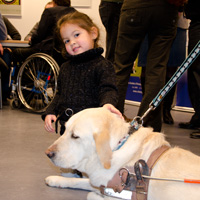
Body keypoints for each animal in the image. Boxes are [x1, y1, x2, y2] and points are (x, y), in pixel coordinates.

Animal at [45, 108, 200, 200]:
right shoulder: (103, 183)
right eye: (65, 129)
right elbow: (81, 182)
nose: (48, 153)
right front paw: (57, 180)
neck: (116, 149)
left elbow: (91, 194)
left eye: (75, 136)